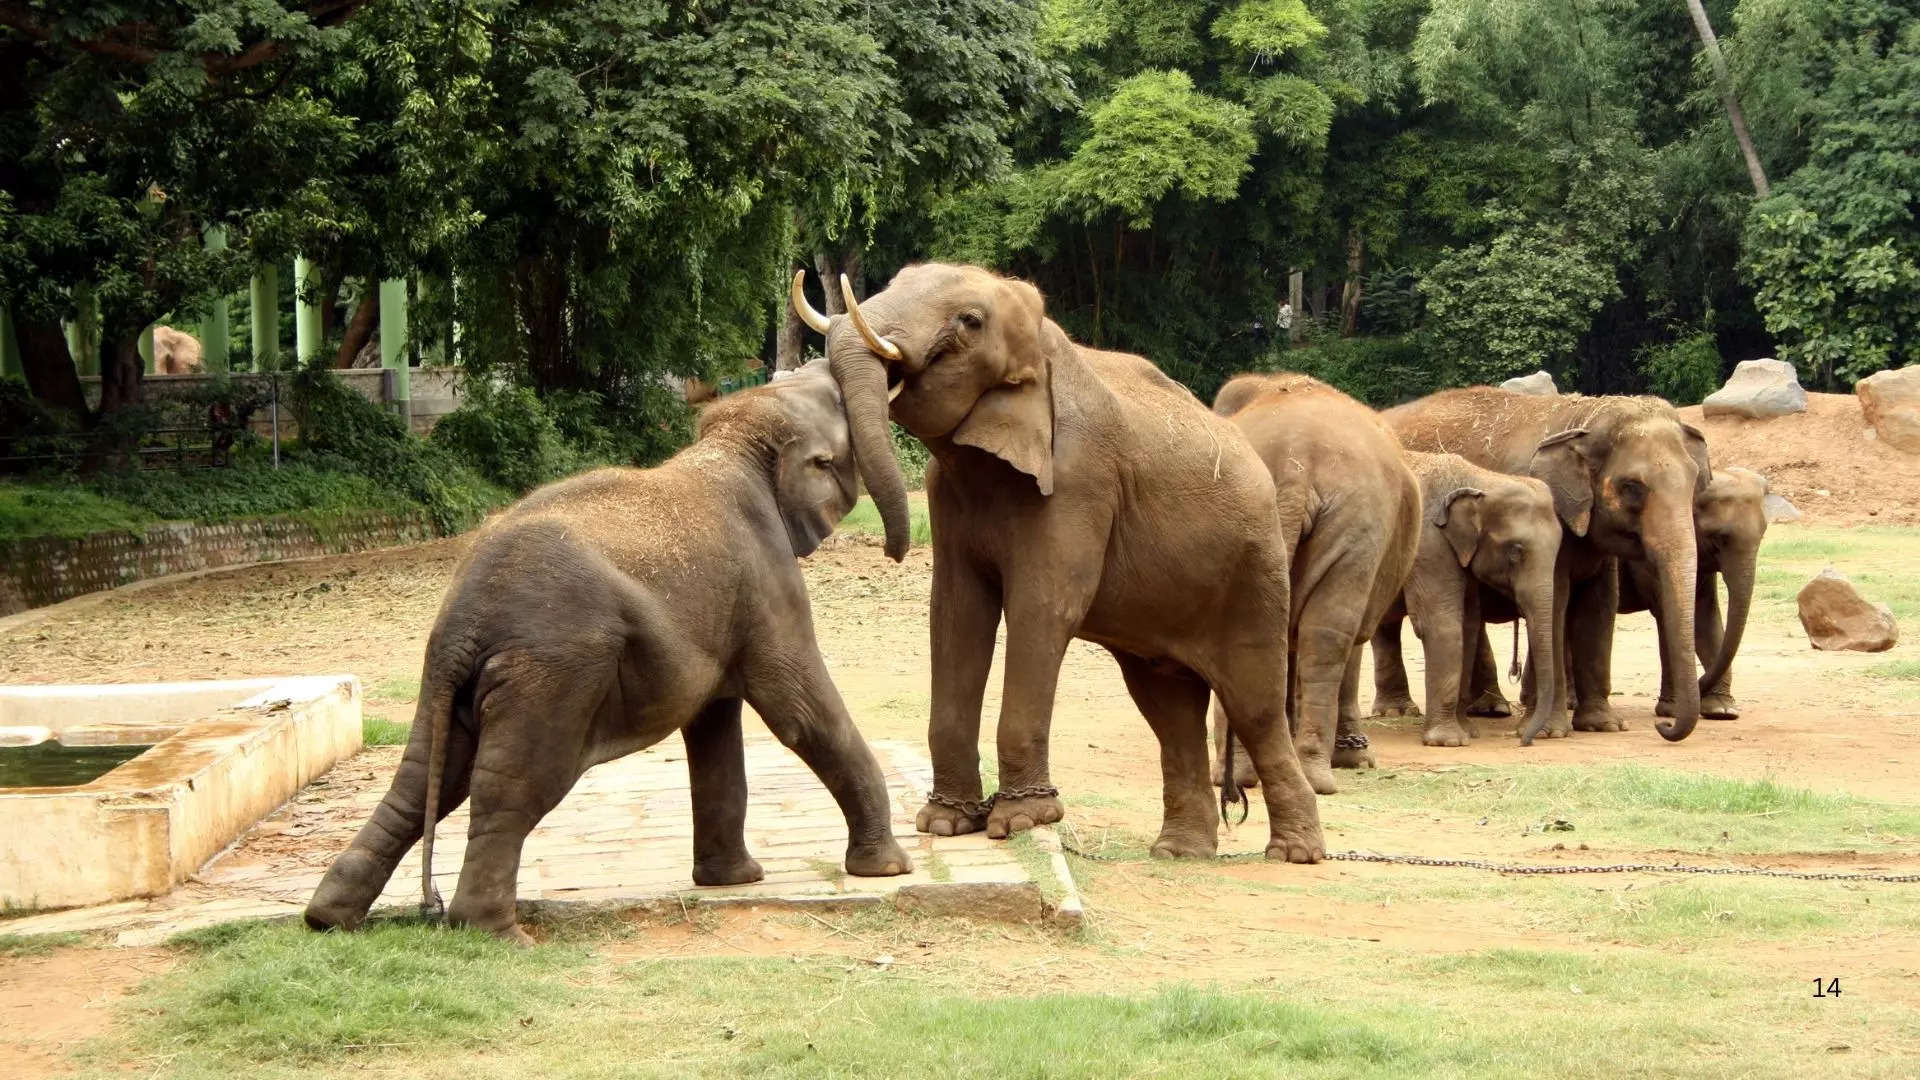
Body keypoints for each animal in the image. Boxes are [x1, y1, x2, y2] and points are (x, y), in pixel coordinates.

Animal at [301, 357, 913, 937]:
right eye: (838, 409)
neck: (733, 443)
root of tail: (463, 621)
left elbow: (714, 726)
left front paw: (734, 880)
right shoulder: (766, 580)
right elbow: (799, 711)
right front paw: (887, 869)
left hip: (443, 677)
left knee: (422, 778)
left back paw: (328, 918)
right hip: (552, 671)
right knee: (514, 785)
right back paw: (497, 934)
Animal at [791, 265, 1320, 860]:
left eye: (969, 322)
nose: (892, 551)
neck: (1041, 343)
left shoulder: (1077, 482)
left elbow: (1042, 610)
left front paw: (1021, 820)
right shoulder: (948, 493)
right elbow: (955, 614)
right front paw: (946, 823)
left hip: (1255, 571)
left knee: (1253, 704)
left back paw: (1293, 853)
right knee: (1168, 708)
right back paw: (1179, 853)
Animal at [1205, 374, 1420, 795]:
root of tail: (1295, 467)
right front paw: (1357, 760)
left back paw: (1237, 775)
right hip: (1357, 525)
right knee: (1330, 635)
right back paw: (1317, 778)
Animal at [1374, 449, 1566, 745]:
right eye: (1516, 551)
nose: (1524, 739)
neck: (1480, 478)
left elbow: (1470, 625)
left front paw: (1467, 732)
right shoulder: (1428, 544)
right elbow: (1442, 623)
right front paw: (1448, 741)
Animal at [1390, 386, 1720, 737]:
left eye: (1695, 481)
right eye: (1632, 487)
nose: (1663, 725)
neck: (1585, 417)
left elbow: (1599, 607)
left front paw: (1602, 725)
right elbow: (1557, 604)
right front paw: (1550, 731)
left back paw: (1488, 711)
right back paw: (1403, 711)